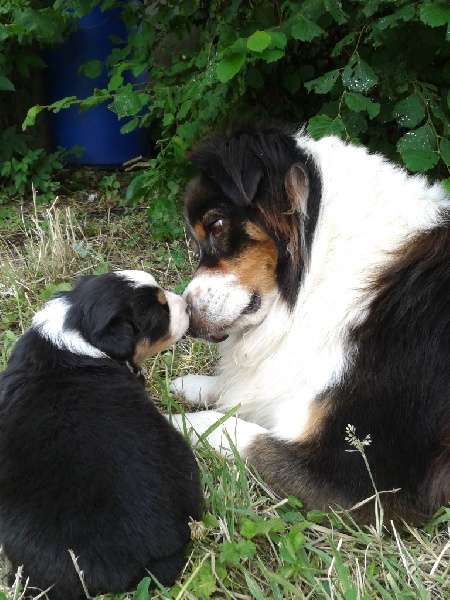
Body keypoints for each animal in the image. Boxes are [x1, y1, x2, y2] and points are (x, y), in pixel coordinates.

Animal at [170, 124, 450, 524]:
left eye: (217, 226)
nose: (186, 320)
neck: (322, 265)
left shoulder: (365, 478)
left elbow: (234, 430)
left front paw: (172, 420)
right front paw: (194, 385)